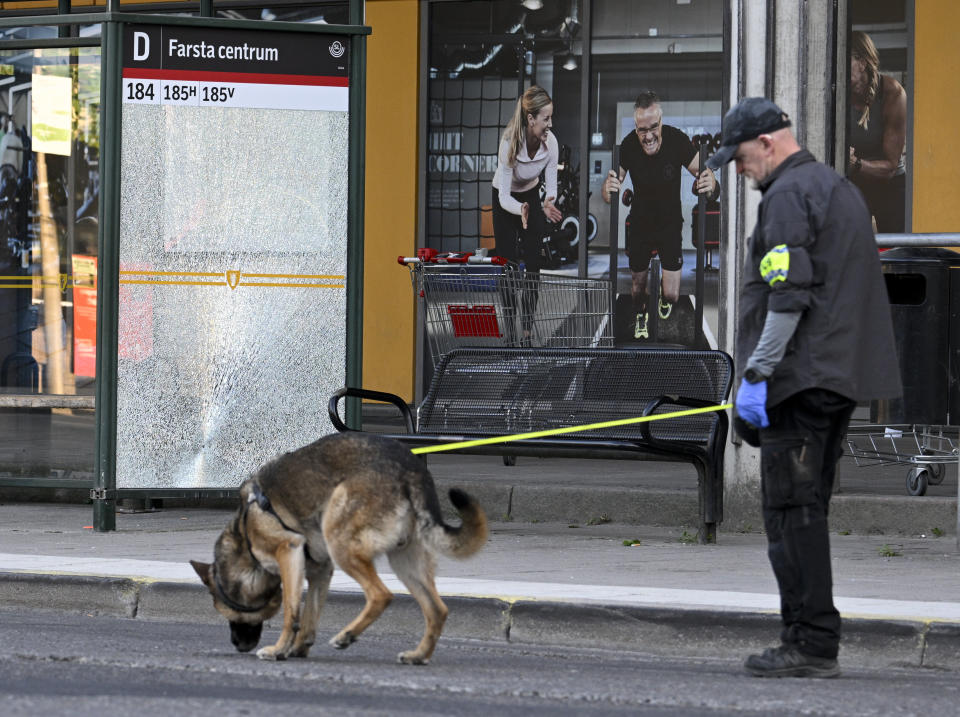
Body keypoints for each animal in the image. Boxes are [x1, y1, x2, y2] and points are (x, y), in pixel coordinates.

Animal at [189, 428, 488, 664]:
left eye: (227, 613)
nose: (238, 646)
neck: (245, 539)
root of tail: (411, 469)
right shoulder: (320, 570)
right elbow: (309, 614)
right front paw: (297, 648)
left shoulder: (289, 553)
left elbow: (291, 612)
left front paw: (278, 650)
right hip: (404, 562)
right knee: (437, 610)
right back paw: (419, 655)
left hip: (342, 543)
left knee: (381, 595)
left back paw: (348, 635)